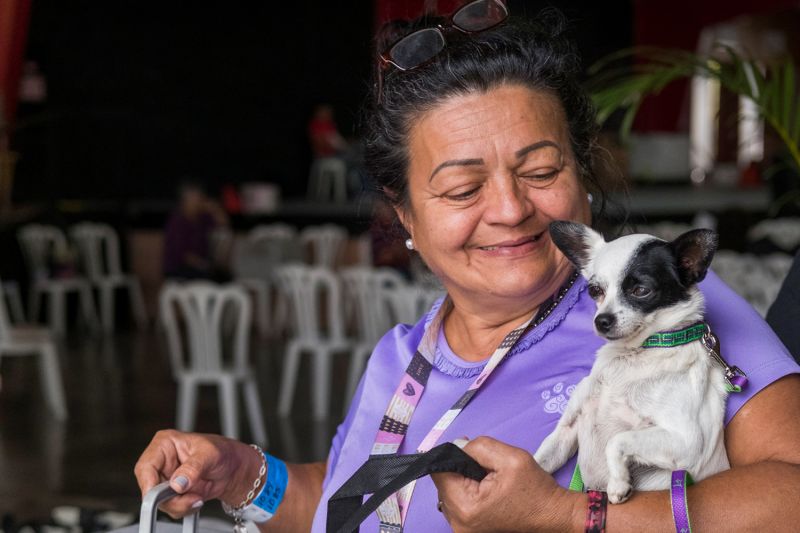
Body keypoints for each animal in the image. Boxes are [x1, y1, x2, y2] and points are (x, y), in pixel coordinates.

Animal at [532, 221, 732, 502]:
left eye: (641, 291)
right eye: (595, 290)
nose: (601, 320)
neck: (634, 355)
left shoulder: (687, 442)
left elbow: (617, 440)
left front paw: (618, 483)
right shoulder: (566, 431)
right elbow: (538, 460)